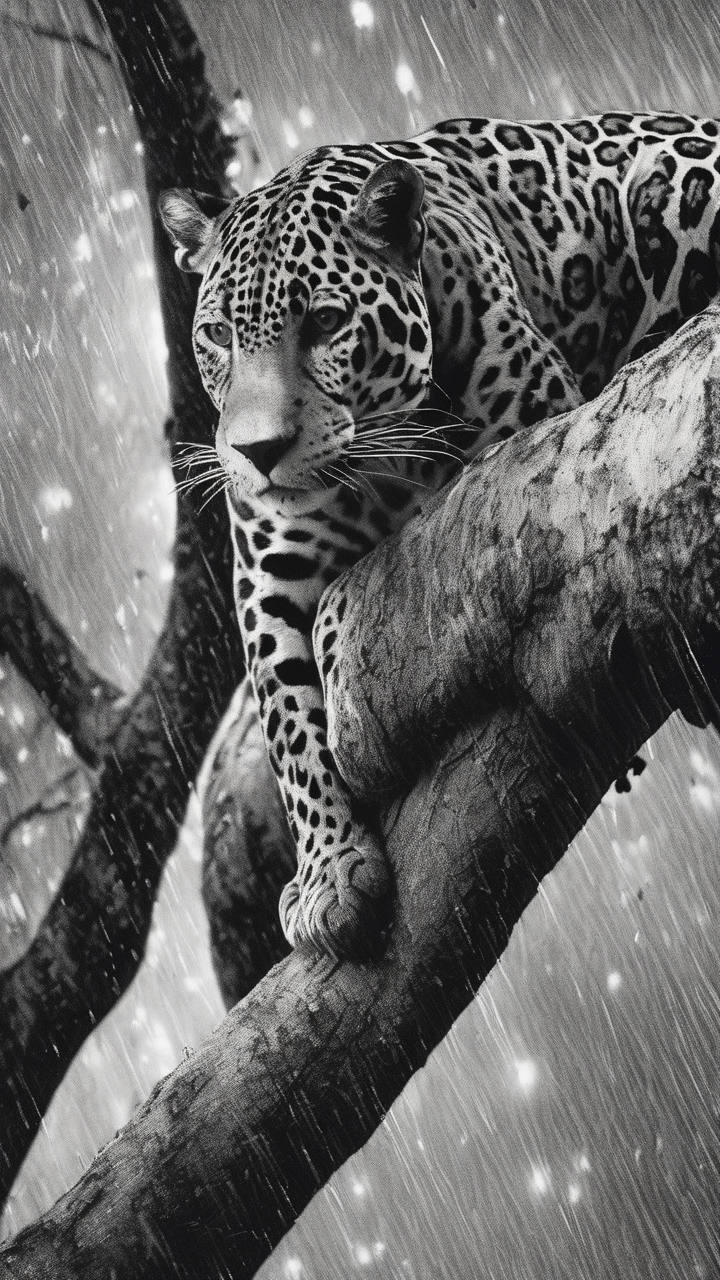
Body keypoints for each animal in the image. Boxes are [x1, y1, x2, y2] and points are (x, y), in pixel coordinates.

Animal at [160, 110, 720, 958]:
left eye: (326, 322)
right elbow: (287, 721)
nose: (257, 451)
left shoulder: (531, 440)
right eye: (219, 335)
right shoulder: (265, 576)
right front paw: (327, 874)